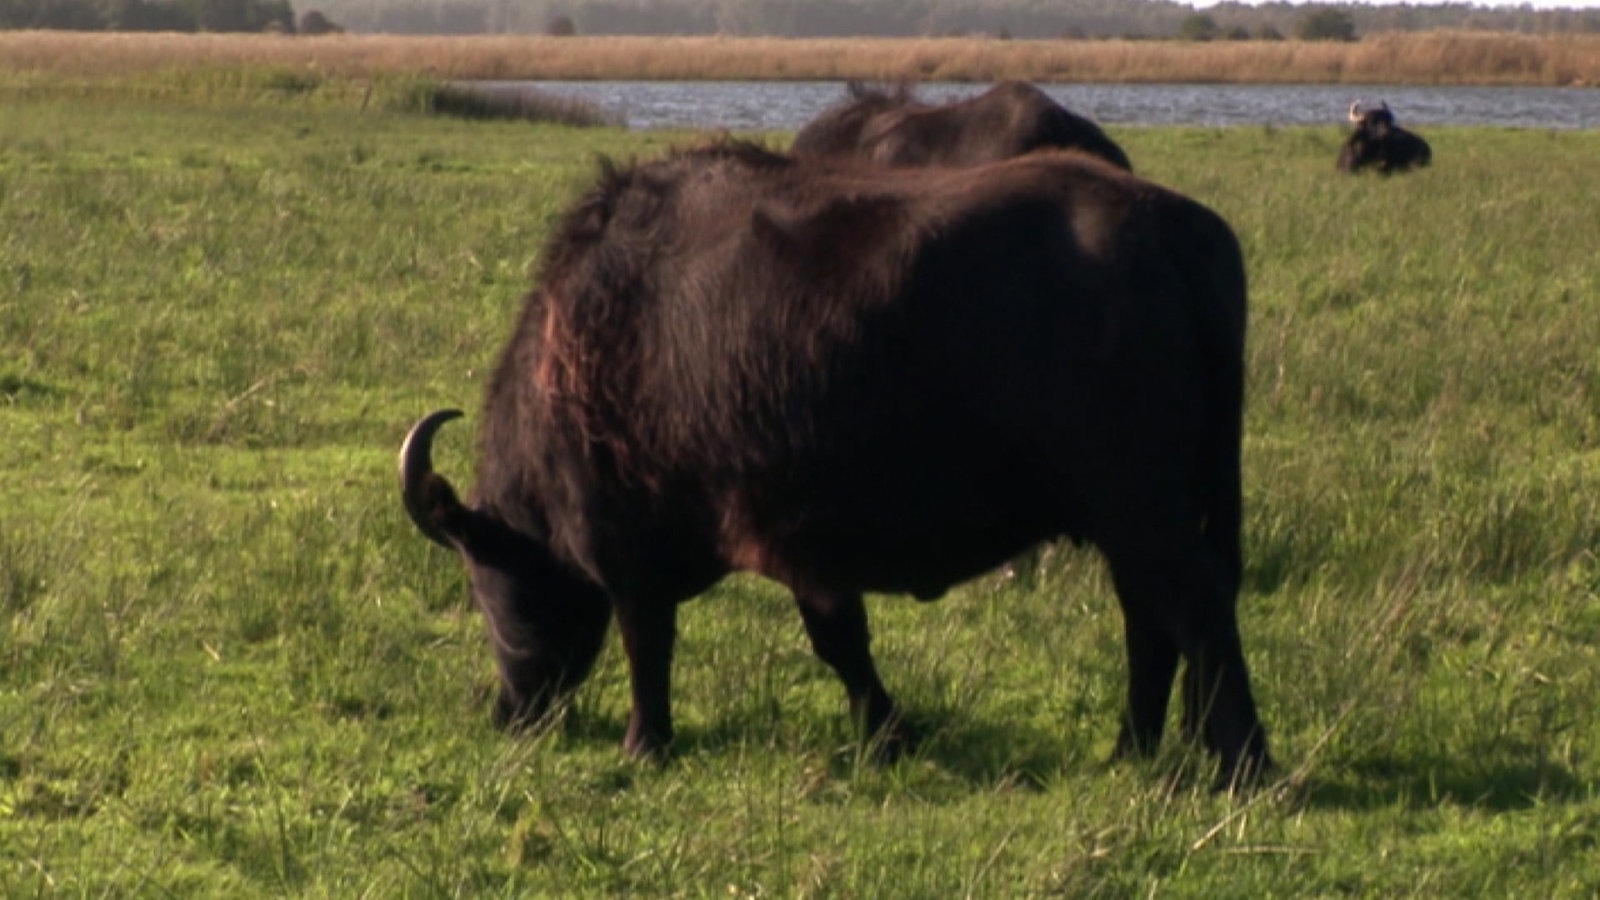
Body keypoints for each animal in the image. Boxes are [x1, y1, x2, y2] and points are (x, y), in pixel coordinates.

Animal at [400, 140, 1273, 784]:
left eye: (483, 579)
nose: (509, 713)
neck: (591, 343)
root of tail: (1170, 227)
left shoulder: (638, 558)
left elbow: (656, 645)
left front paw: (646, 744)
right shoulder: (804, 546)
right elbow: (841, 641)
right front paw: (887, 734)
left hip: (1142, 509)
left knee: (1193, 605)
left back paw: (1246, 765)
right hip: (1134, 518)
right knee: (1151, 618)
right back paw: (1131, 749)